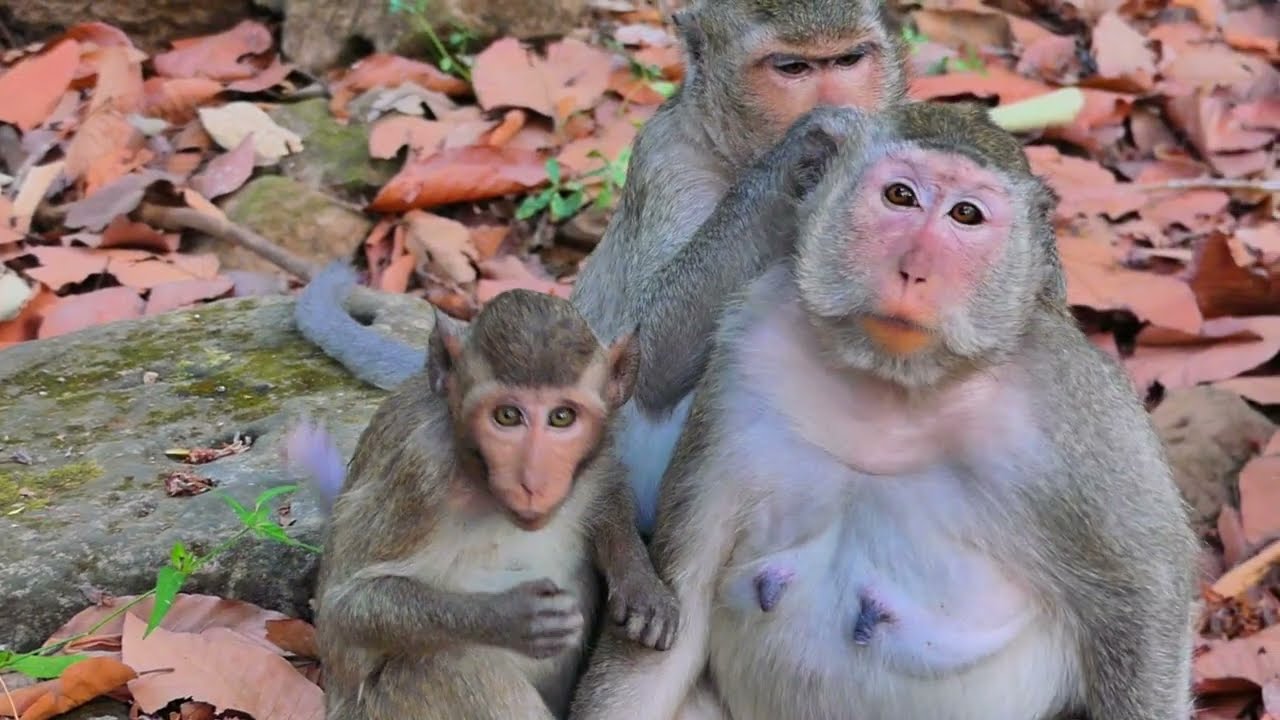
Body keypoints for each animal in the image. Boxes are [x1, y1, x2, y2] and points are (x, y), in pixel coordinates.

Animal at [291, 0, 910, 535]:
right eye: (792, 67)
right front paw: (808, 143)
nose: (837, 95)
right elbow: (648, 363)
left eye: (849, 59)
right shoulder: (668, 165)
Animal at [308, 279, 680, 720]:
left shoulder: (600, 454)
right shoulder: (418, 473)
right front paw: (512, 617)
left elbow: (609, 490)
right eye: (507, 416)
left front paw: (640, 581)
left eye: (561, 417)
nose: (533, 481)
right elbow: (344, 609)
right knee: (445, 663)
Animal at [568, 101, 1199, 720]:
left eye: (966, 214)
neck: (892, 390)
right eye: (900, 196)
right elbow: (679, 609)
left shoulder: (1080, 413)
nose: (913, 269)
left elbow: (1143, 602)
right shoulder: (744, 361)